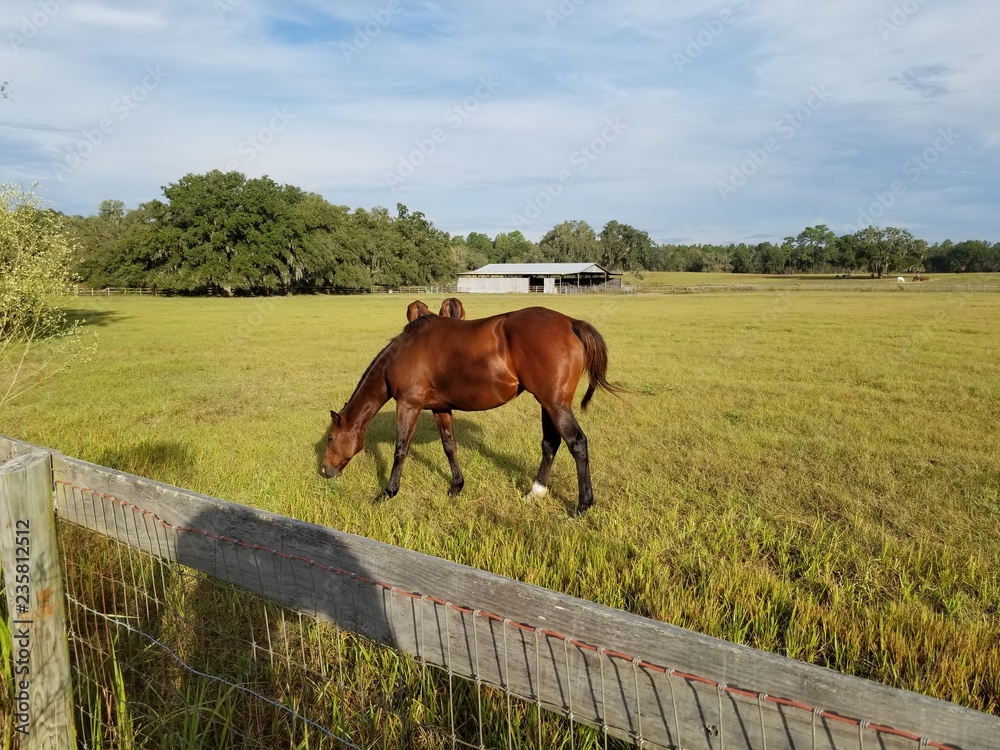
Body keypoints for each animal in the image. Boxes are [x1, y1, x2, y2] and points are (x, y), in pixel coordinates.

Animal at [321, 307, 620, 514]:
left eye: (331, 438)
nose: (324, 471)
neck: (403, 353)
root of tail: (570, 323)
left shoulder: (408, 405)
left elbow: (400, 450)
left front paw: (388, 492)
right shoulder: (440, 408)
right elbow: (449, 446)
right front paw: (456, 486)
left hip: (556, 405)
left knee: (577, 443)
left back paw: (583, 505)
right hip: (547, 404)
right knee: (550, 444)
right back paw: (534, 493)